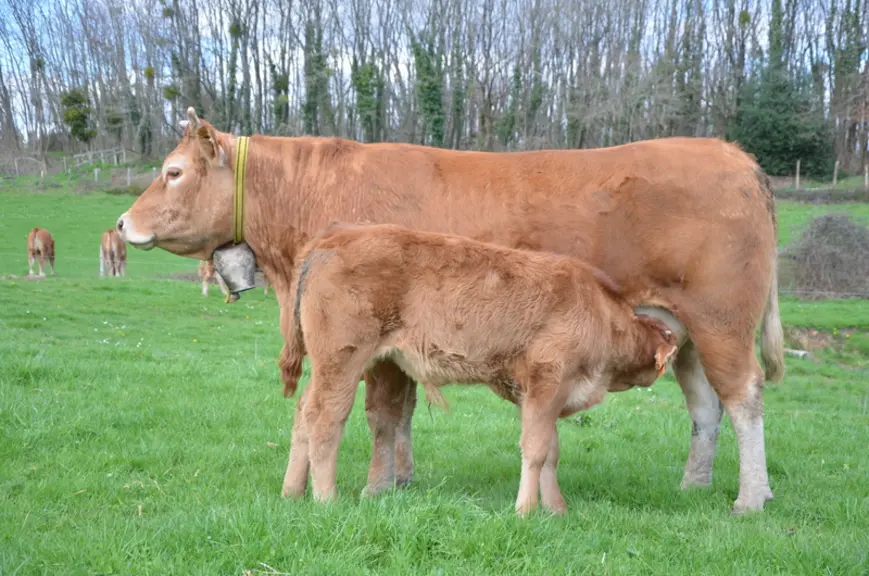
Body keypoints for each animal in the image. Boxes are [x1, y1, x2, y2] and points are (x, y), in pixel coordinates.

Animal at [278, 223, 681, 515]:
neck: (600, 314)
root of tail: (332, 238)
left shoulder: (541, 395)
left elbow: (551, 450)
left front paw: (556, 510)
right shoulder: (548, 381)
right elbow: (536, 449)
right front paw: (525, 511)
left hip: (329, 364)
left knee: (301, 412)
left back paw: (291, 492)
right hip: (342, 360)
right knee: (324, 419)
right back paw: (326, 499)